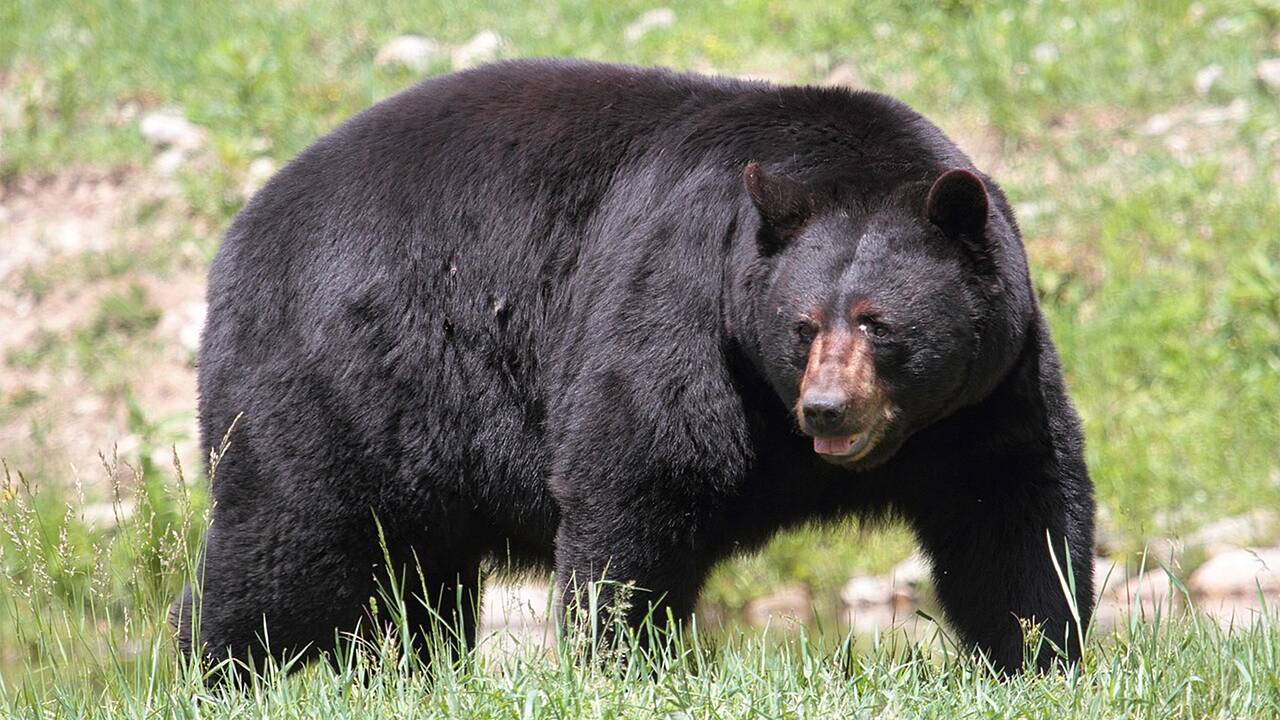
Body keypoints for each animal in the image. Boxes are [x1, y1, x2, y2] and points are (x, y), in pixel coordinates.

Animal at [173, 58, 1095, 676]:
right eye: (802, 326)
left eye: (879, 323)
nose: (828, 409)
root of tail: (240, 231)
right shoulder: (681, 298)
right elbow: (640, 474)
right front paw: (619, 658)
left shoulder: (989, 386)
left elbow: (1014, 506)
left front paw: (1038, 651)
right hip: (336, 373)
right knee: (288, 540)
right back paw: (214, 664)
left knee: (413, 578)